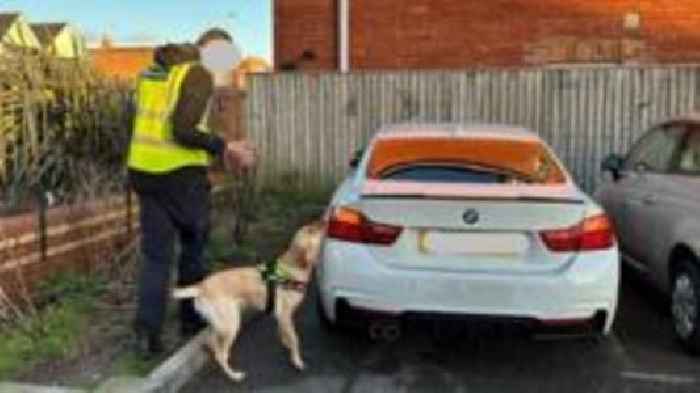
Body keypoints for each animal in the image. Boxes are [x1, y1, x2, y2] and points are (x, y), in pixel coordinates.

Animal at [171, 222, 324, 382]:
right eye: (311, 230)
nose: (323, 221)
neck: (292, 267)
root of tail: (200, 287)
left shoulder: (281, 318)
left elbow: (285, 334)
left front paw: (286, 344)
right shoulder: (285, 315)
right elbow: (295, 340)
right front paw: (297, 361)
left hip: (221, 324)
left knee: (214, 344)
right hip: (231, 325)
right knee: (221, 354)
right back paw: (234, 375)